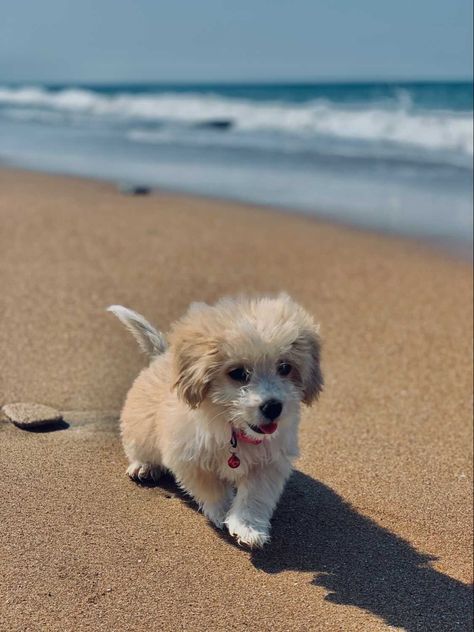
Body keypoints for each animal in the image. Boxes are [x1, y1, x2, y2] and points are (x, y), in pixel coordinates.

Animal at [108, 294, 322, 544]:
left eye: (285, 367)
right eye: (238, 373)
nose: (273, 407)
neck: (234, 431)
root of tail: (164, 355)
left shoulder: (269, 463)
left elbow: (255, 496)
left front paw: (247, 526)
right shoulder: (189, 459)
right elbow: (212, 489)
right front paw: (222, 513)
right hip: (139, 429)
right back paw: (144, 465)